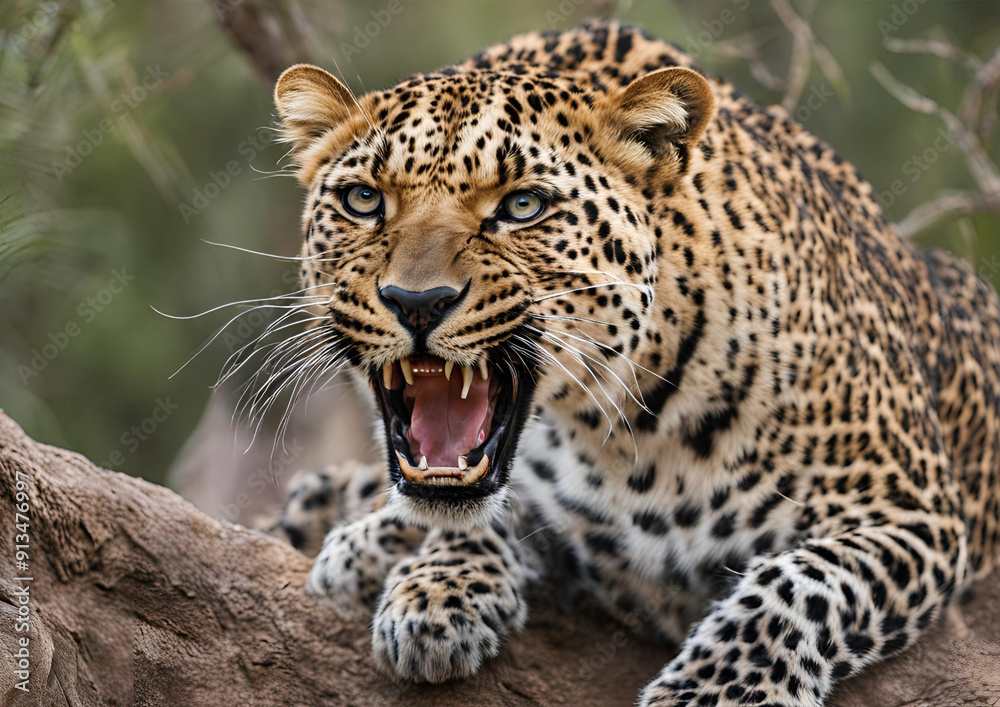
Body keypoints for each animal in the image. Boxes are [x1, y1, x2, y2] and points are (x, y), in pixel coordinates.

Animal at [265, 21, 1000, 706]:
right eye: (363, 200)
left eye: (523, 206)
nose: (417, 303)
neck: (617, 429)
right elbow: (493, 512)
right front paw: (430, 589)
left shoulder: (910, 509)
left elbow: (796, 582)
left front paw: (709, 695)